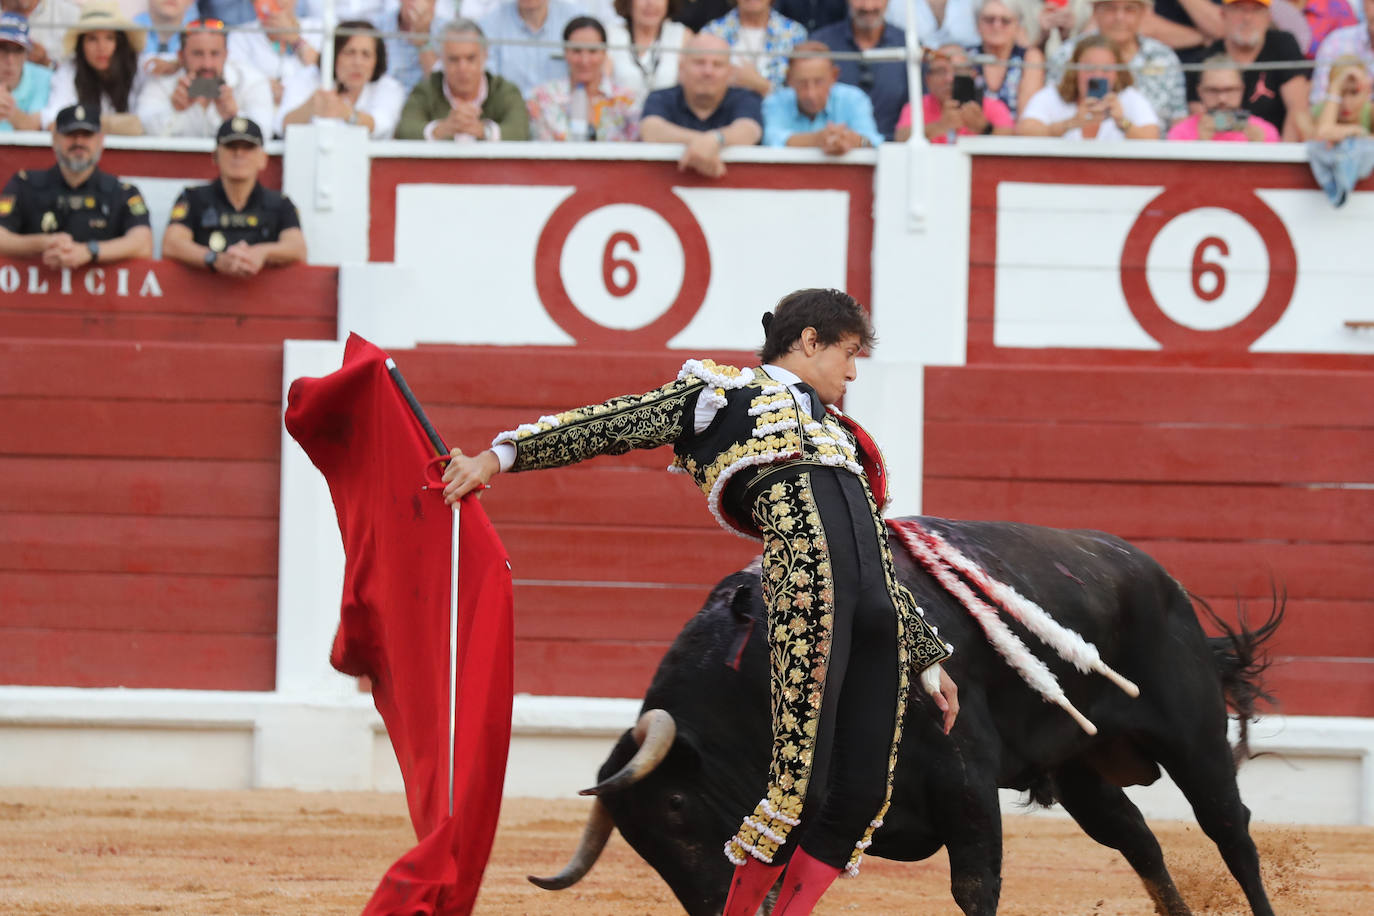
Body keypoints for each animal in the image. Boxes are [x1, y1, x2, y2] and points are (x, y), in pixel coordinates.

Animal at [530, 519, 1280, 911]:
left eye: (677, 808)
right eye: (637, 842)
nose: (715, 907)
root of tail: (1158, 574)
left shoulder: (964, 781)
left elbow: (975, 885)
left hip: (1194, 740)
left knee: (1231, 830)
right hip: (1080, 775)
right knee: (1139, 840)